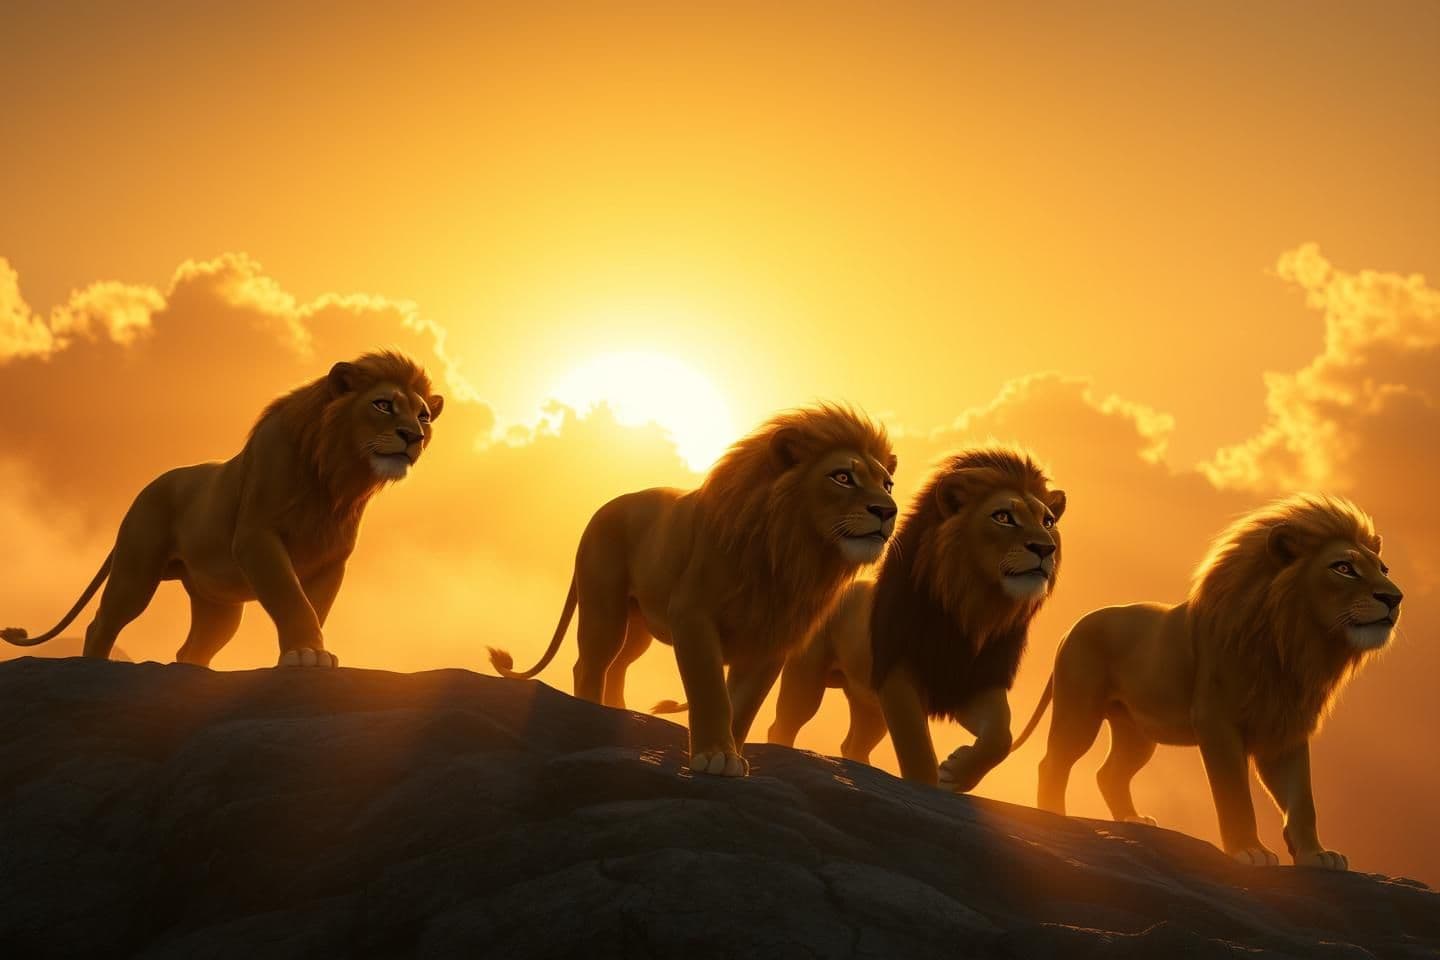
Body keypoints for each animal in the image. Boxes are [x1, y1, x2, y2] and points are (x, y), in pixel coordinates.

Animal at [3, 351, 443, 668]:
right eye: (383, 405)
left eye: (423, 415)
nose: (413, 436)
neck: (332, 480)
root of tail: (149, 485)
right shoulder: (256, 539)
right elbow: (292, 599)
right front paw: (305, 655)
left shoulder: (331, 560)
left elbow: (314, 607)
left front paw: (307, 652)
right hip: (135, 570)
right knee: (102, 623)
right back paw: (93, 666)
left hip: (218, 604)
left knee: (192, 649)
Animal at [488, 404, 898, 777]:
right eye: (842, 477)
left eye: (886, 484)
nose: (888, 511)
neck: (793, 555)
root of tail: (605, 507)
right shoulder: (693, 617)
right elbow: (711, 691)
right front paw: (714, 756)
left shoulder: (771, 640)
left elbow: (743, 705)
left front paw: (733, 757)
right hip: (605, 609)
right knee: (590, 663)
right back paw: (592, 714)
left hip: (638, 627)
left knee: (618, 665)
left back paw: (618, 710)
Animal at [762, 447, 1065, 793]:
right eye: (1003, 517)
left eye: (1048, 521)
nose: (1045, 548)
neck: (971, 610)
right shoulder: (897, 677)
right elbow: (917, 749)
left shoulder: (970, 681)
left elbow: (1001, 735)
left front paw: (957, 772)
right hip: (808, 678)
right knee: (785, 723)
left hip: (869, 704)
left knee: (854, 744)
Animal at [1012, 495, 1401, 870]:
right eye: (1344, 568)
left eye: (1383, 570)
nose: (1395, 597)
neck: (1293, 644)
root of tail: (1072, 628)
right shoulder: (1217, 723)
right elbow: (1235, 795)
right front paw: (1249, 851)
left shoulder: (1283, 729)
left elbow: (1302, 799)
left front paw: (1316, 856)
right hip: (1080, 712)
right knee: (1053, 763)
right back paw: (1054, 817)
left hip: (1137, 733)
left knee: (1110, 774)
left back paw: (1133, 821)